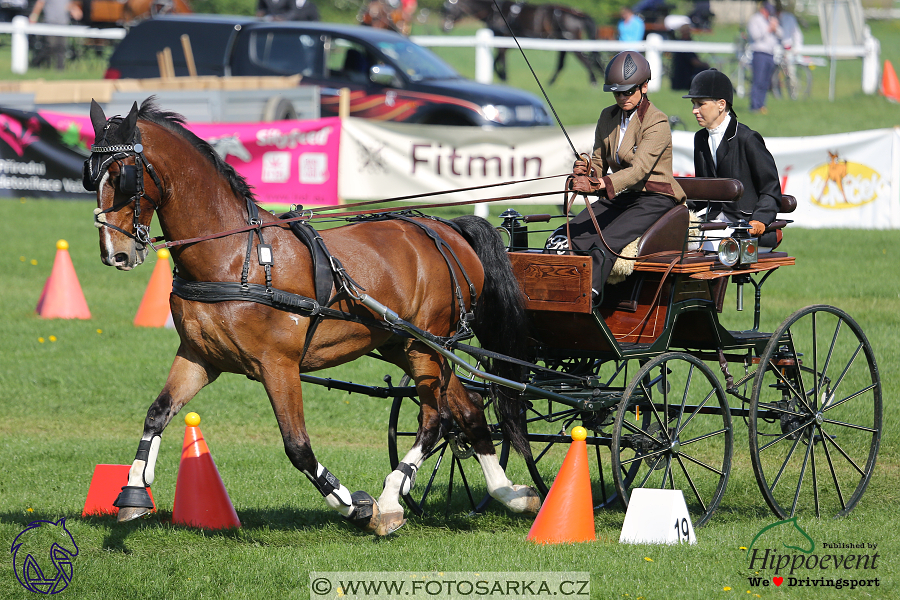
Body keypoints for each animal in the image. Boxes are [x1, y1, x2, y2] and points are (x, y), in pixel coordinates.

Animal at [82, 98, 536, 536]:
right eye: (90, 176)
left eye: (122, 176)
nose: (114, 254)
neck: (238, 256)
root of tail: (446, 230)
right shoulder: (199, 357)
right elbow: (156, 412)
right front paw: (133, 491)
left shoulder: (278, 365)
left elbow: (297, 446)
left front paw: (358, 507)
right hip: (406, 344)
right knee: (468, 410)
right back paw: (509, 493)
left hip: (426, 346)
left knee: (435, 417)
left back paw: (390, 501)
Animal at [442, 0, 604, 85]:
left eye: (448, 8)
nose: (444, 27)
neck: (495, 12)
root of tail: (578, 13)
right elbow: (495, 62)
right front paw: (502, 77)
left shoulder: (503, 39)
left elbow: (500, 60)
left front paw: (504, 77)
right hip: (563, 42)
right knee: (563, 64)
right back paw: (551, 82)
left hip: (571, 41)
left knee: (585, 60)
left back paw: (593, 81)